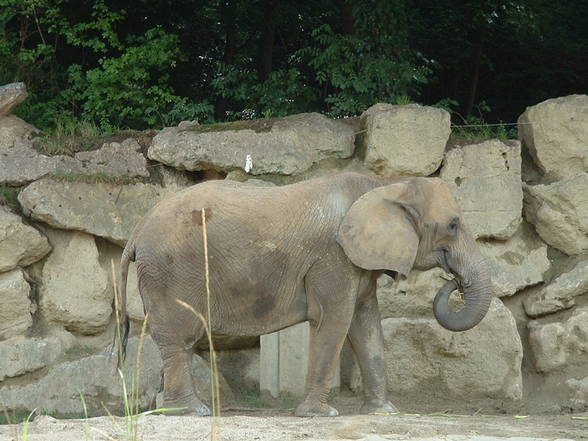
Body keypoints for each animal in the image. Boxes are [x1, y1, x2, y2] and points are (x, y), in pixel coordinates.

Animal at [118, 171, 492, 416]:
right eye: (454, 225)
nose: (453, 280)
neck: (385, 185)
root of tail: (136, 229)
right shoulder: (333, 258)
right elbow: (335, 320)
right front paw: (320, 415)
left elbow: (366, 324)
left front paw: (384, 412)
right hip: (170, 271)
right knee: (178, 338)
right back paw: (192, 412)